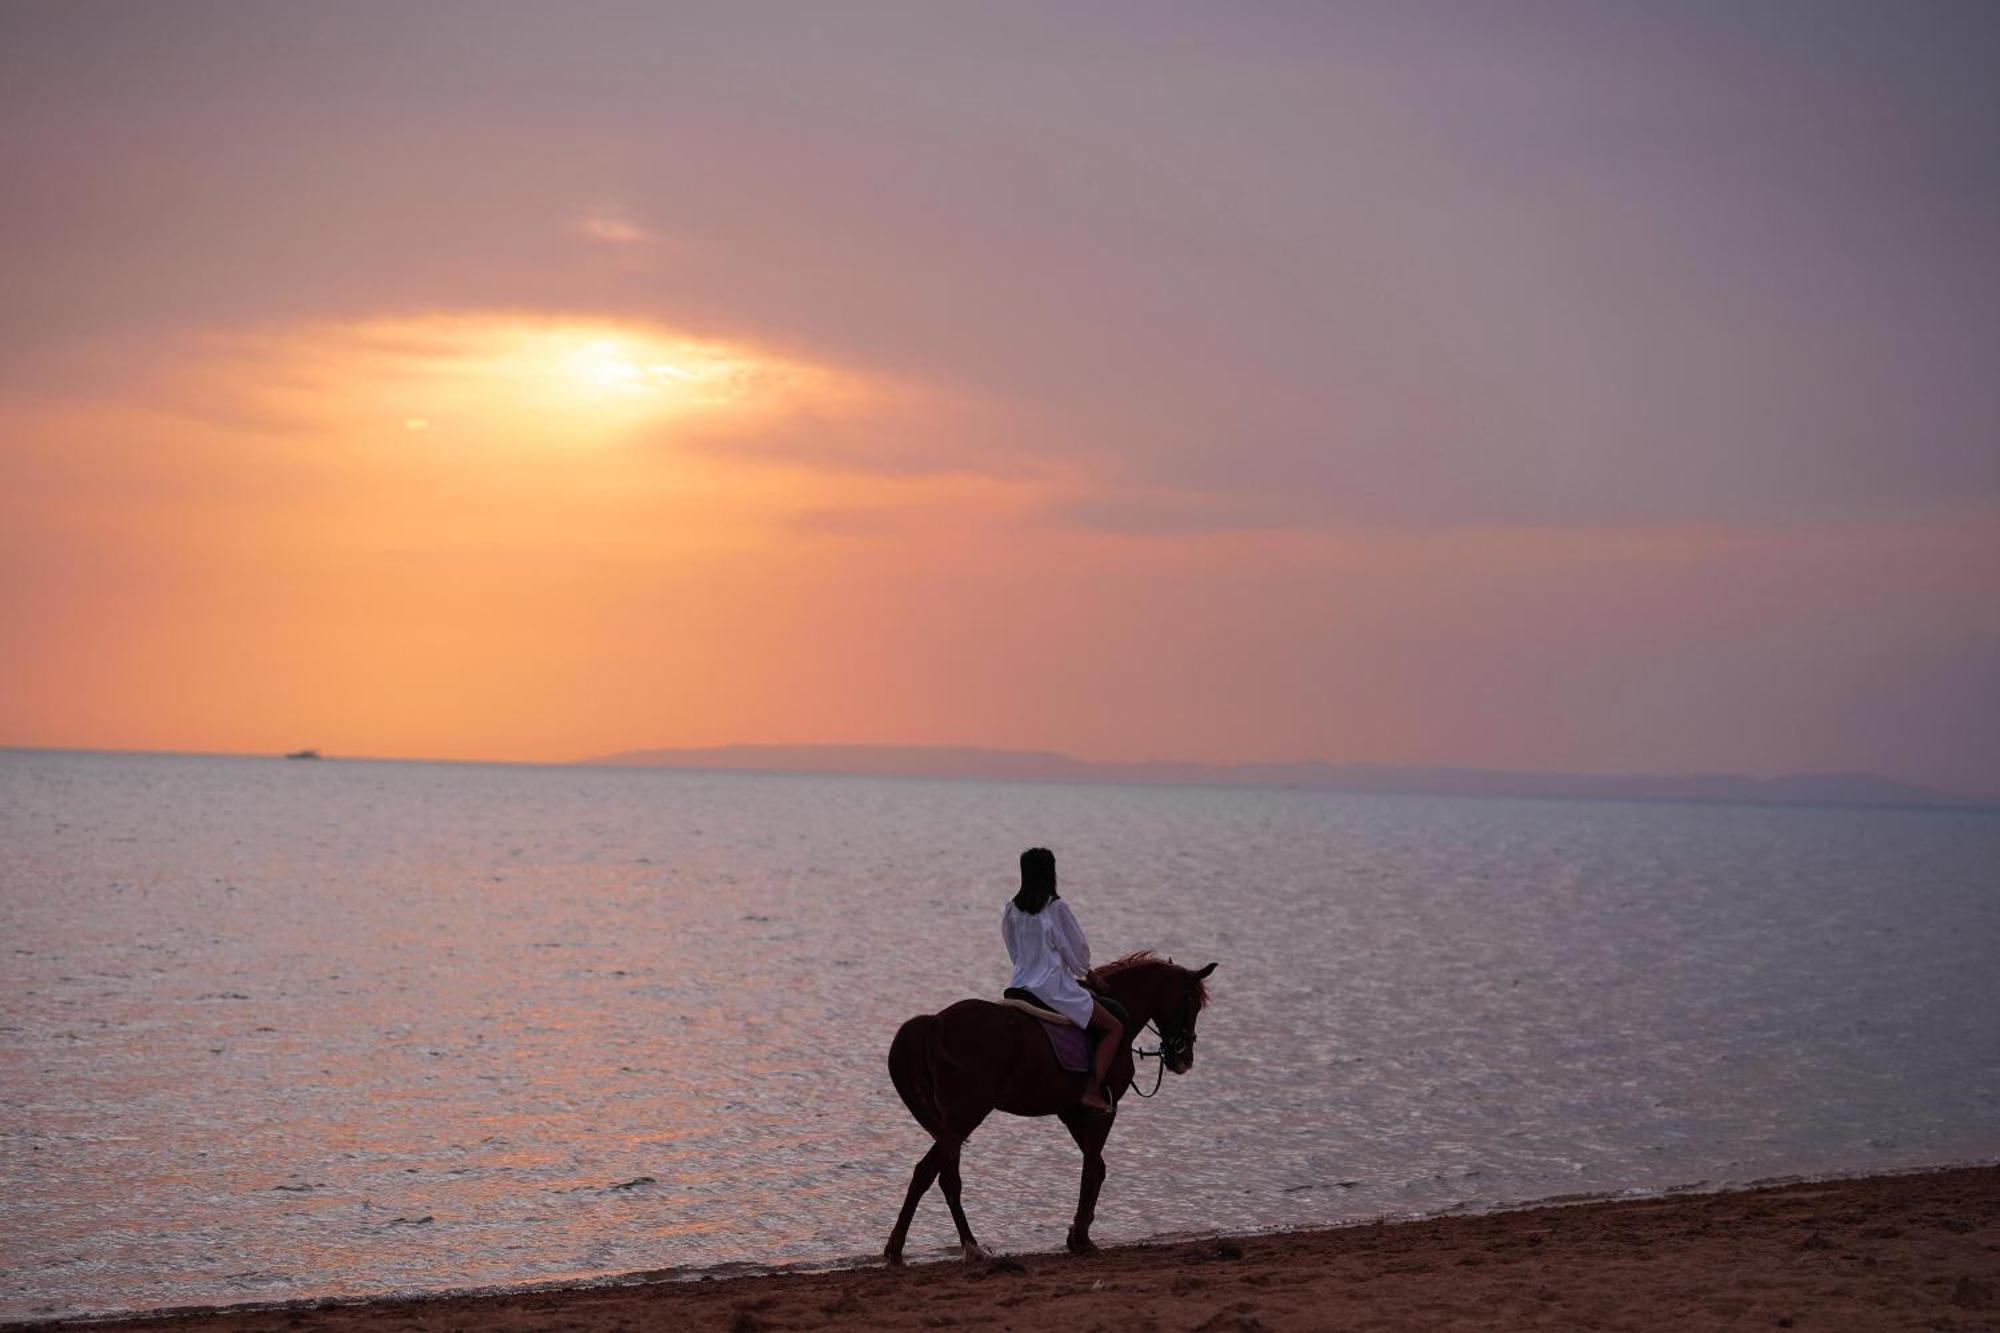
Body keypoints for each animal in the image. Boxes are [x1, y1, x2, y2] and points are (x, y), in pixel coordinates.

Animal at [888, 948, 1216, 1264]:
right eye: (1193, 1005)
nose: (1184, 1059)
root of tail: (937, 1022)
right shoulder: (1104, 1110)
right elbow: (1094, 1168)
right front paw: (1081, 1237)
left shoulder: (1071, 1113)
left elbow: (1094, 1166)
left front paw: (1077, 1234)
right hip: (966, 1115)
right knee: (929, 1172)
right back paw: (917, 1248)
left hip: (952, 1121)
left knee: (945, 1178)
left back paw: (955, 1246)